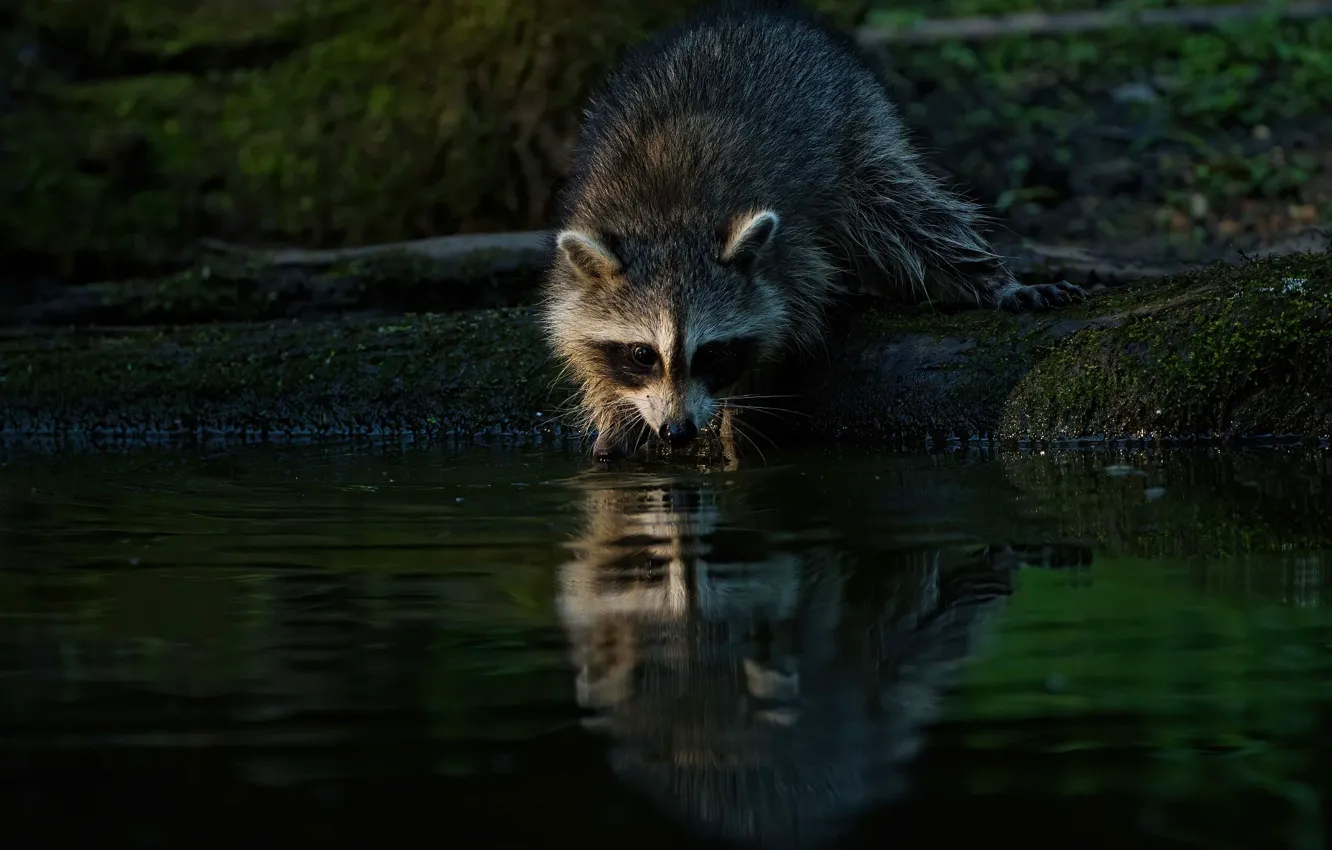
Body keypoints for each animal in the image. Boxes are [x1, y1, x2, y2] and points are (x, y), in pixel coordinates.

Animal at [542, 0, 1085, 463]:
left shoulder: (790, 254)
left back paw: (987, 278)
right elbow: (579, 340)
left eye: (713, 352)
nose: (677, 431)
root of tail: (752, 12)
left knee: (906, 213)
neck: (672, 225)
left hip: (854, 131)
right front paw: (613, 413)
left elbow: (788, 324)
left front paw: (741, 411)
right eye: (642, 354)